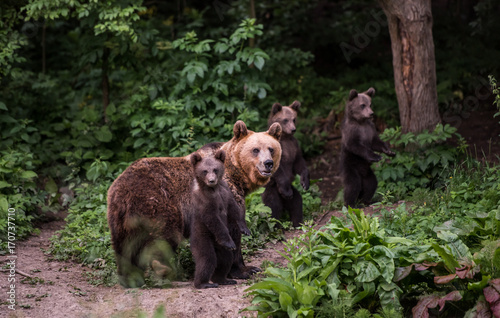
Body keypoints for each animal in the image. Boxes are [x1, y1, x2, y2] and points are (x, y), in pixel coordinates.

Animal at [107, 120, 282, 286]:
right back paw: (163, 268)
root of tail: (122, 190)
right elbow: (233, 228)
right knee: (163, 237)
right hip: (158, 204)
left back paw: (131, 279)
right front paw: (245, 269)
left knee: (124, 246)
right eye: (255, 149)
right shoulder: (225, 194)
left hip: (119, 217)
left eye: (271, 148)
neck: (237, 175)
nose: (268, 163)